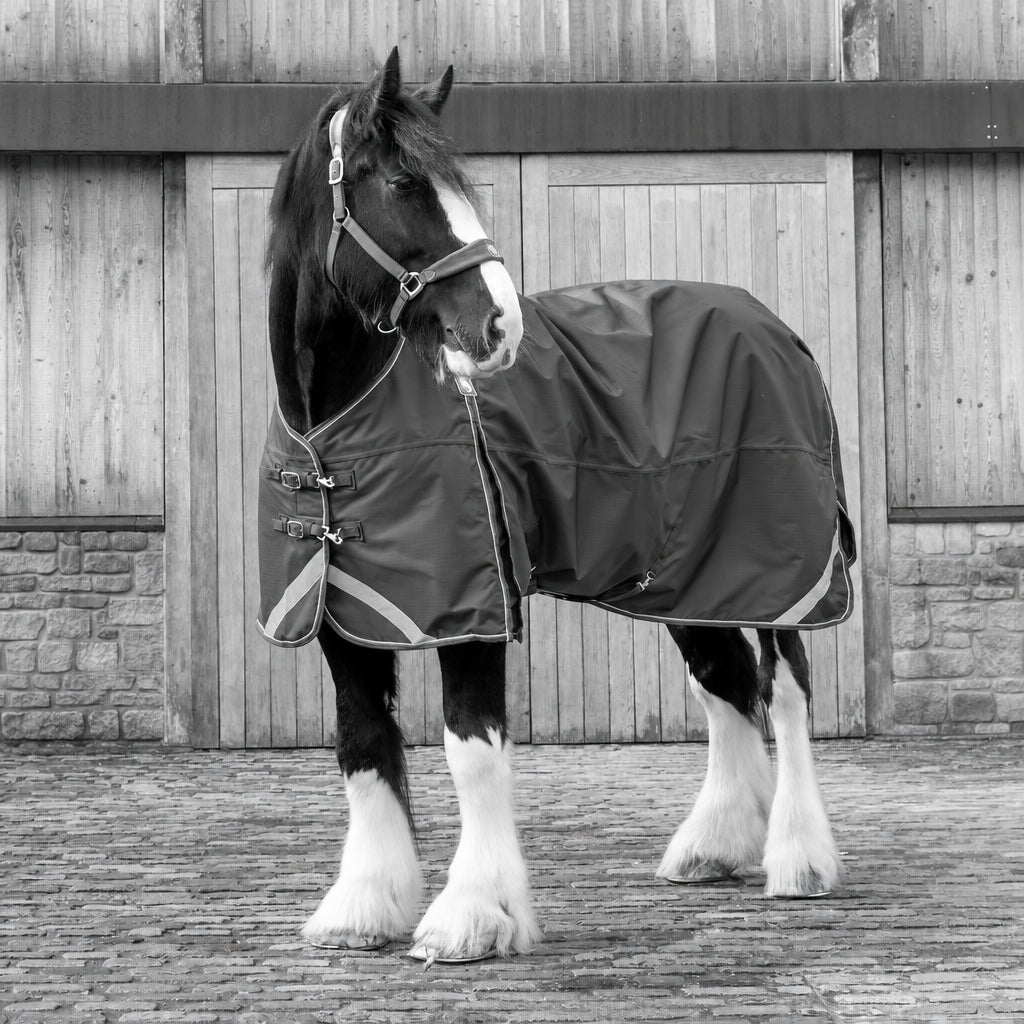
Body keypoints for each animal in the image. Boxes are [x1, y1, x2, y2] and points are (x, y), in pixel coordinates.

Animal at [261, 47, 850, 964]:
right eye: (400, 181)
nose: (499, 327)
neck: (337, 430)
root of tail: (774, 328)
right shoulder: (341, 618)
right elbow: (362, 747)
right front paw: (363, 908)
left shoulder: (472, 609)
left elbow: (471, 750)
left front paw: (473, 915)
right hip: (693, 579)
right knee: (725, 685)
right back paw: (713, 847)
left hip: (777, 572)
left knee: (785, 688)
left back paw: (798, 859)